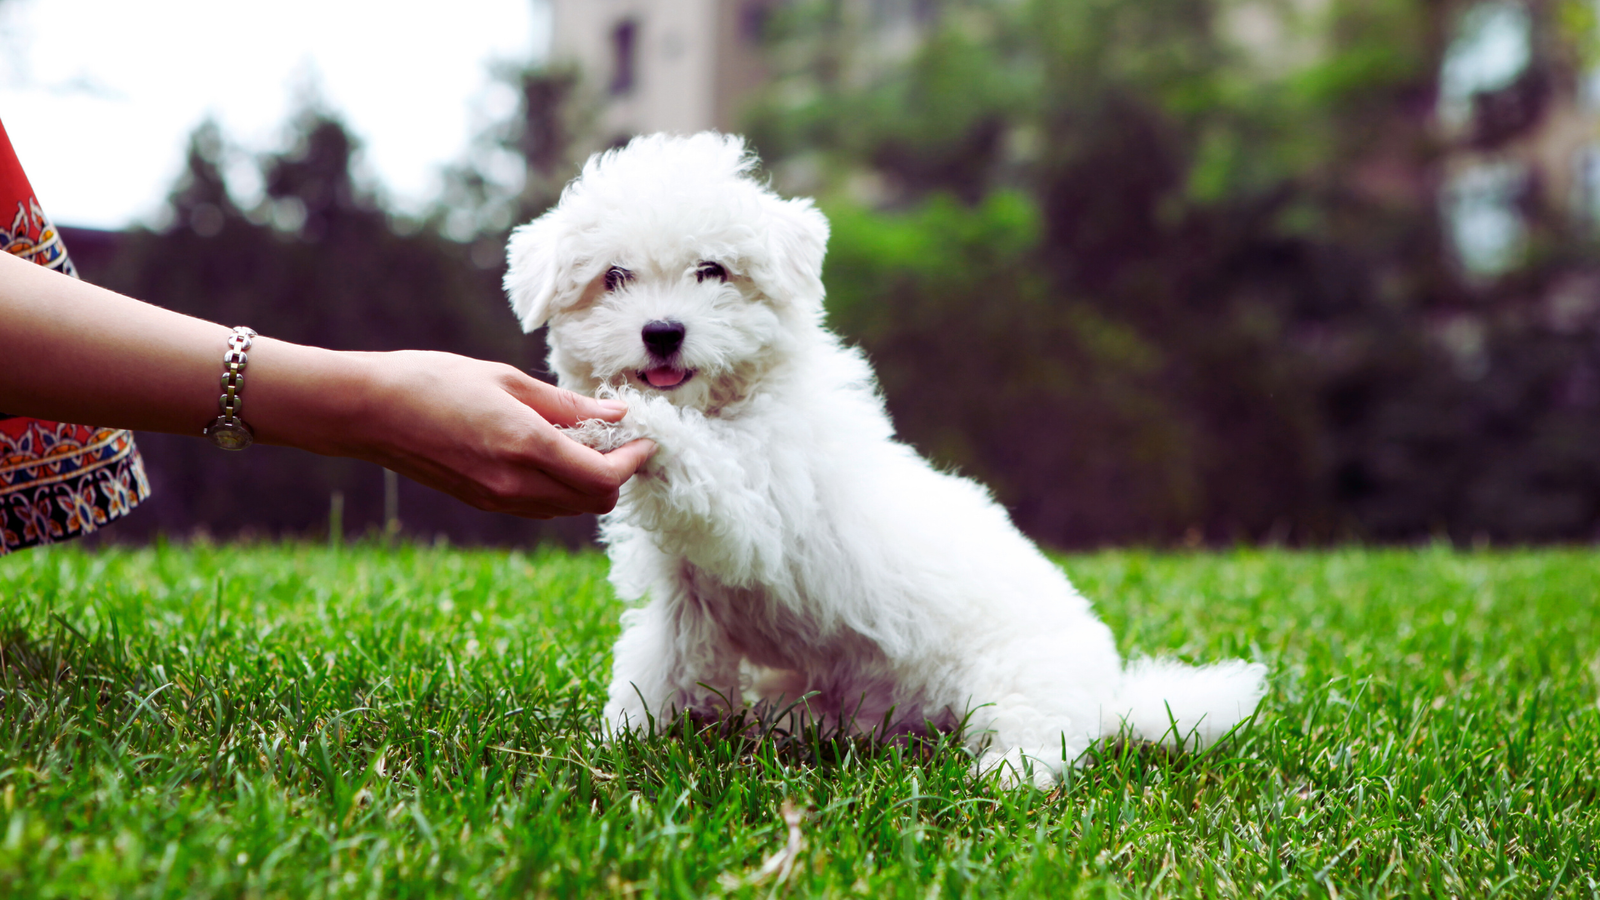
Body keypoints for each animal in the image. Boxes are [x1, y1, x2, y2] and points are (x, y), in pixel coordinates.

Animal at [505, 129, 1267, 781]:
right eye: (614, 277)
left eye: (712, 270)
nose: (662, 332)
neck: (730, 405)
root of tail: (1110, 697)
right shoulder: (685, 597)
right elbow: (657, 668)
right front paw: (624, 740)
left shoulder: (754, 510)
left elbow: (699, 465)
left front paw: (620, 421)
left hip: (1017, 681)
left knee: (1042, 740)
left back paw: (1000, 776)